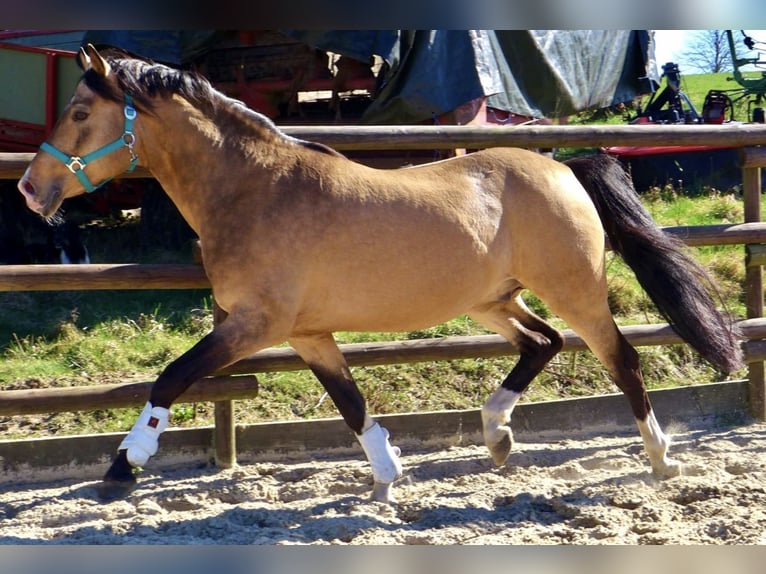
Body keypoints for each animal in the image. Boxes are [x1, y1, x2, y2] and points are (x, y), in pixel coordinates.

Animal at [17, 45, 743, 503]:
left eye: (79, 113)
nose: (29, 188)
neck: (256, 189)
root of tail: (565, 167)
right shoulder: (306, 334)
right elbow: (350, 402)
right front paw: (387, 474)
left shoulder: (257, 325)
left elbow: (172, 375)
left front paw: (123, 466)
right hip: (490, 299)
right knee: (543, 343)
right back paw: (496, 434)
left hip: (576, 288)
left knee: (620, 358)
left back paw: (660, 458)